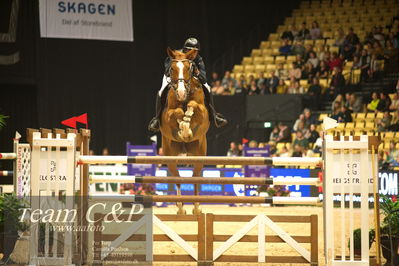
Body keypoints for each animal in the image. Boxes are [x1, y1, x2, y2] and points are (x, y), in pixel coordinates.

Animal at [159, 47, 209, 214]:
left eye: (189, 68)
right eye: (172, 69)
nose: (180, 93)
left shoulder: (203, 112)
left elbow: (193, 105)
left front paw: (186, 127)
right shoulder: (167, 114)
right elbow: (177, 112)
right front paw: (183, 129)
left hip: (199, 156)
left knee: (195, 177)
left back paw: (197, 207)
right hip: (170, 157)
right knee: (177, 177)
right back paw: (180, 207)